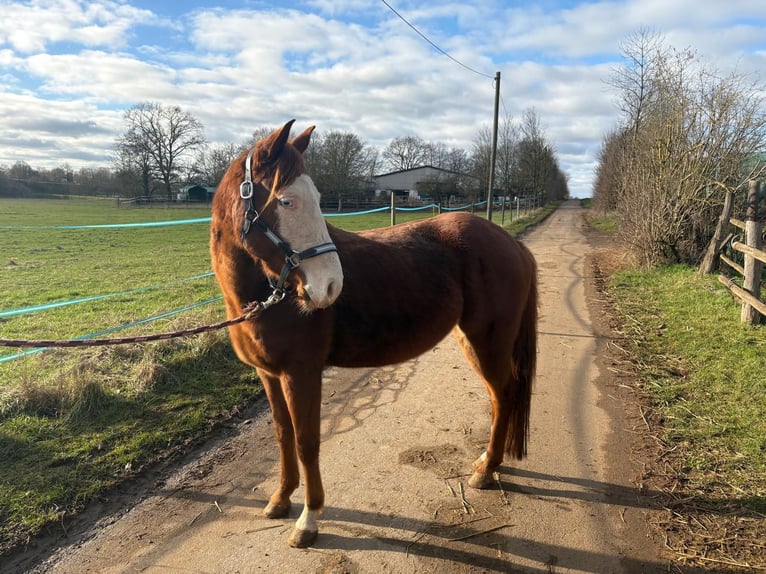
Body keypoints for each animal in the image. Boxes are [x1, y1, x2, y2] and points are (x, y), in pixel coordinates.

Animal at [210, 120, 538, 548]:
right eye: (286, 202)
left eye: (311, 199)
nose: (330, 286)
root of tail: (510, 243)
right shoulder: (268, 374)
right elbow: (284, 435)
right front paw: (280, 500)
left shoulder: (302, 374)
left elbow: (306, 442)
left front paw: (309, 519)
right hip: (473, 343)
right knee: (499, 397)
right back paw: (486, 461)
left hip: (489, 343)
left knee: (504, 394)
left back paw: (485, 471)